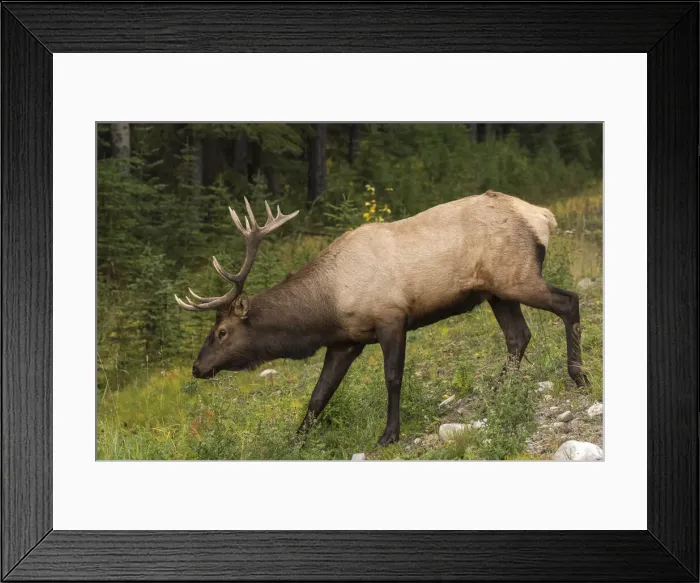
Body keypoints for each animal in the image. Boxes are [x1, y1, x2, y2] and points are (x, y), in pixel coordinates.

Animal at [175, 191, 589, 446]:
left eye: (222, 331)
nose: (197, 367)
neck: (326, 308)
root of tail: (543, 216)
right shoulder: (344, 341)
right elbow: (318, 395)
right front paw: (297, 440)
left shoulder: (391, 318)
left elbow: (392, 377)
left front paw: (389, 434)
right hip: (498, 292)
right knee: (519, 336)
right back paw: (498, 389)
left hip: (517, 276)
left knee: (569, 301)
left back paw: (578, 375)